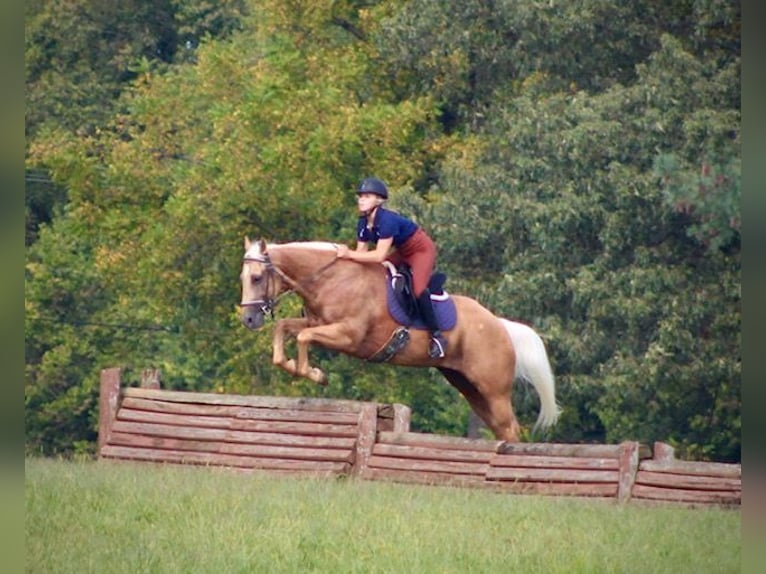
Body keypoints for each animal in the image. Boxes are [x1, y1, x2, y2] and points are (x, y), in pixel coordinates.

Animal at [239, 237, 560, 442]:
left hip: (493, 389)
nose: (249, 320)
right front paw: (294, 366)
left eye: (256, 278)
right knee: (500, 428)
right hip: (469, 386)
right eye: (243, 278)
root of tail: (500, 325)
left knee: (510, 428)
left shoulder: (348, 335)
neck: (331, 279)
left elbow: (304, 337)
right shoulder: (318, 323)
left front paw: (315, 374)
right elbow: (284, 329)